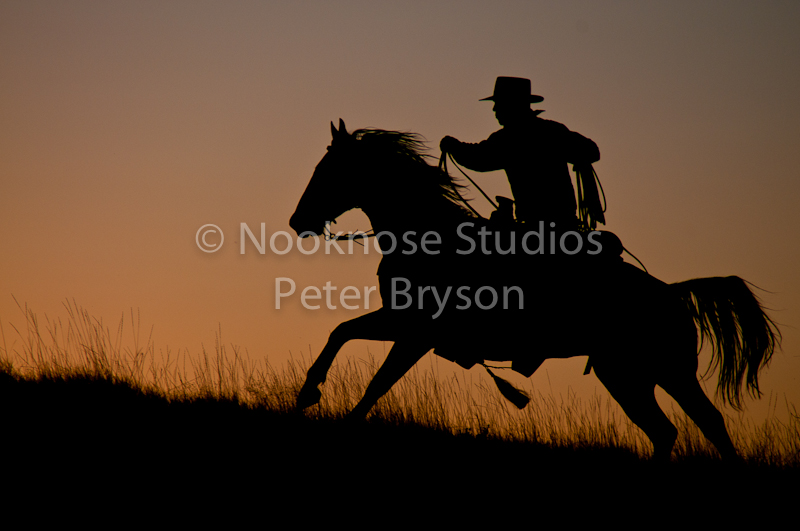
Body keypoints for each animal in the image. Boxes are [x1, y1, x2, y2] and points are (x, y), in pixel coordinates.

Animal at [289, 119, 779, 460]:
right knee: (670, 429)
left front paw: (333, 415)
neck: (431, 238)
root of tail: (673, 293)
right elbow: (342, 332)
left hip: (665, 371)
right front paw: (308, 394)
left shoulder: (416, 333)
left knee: (705, 422)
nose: (298, 222)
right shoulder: (401, 322)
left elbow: (377, 381)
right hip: (628, 375)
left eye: (329, 169)